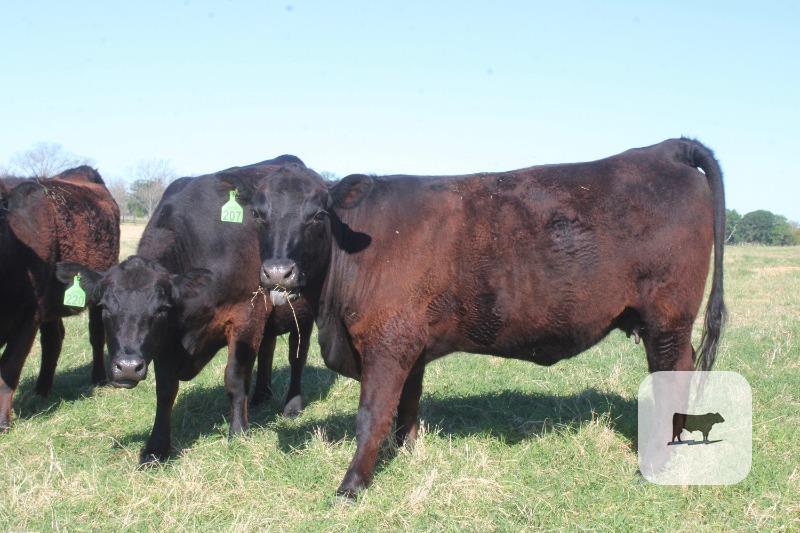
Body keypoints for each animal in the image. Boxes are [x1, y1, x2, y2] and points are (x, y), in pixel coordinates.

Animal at [0, 167, 120, 430]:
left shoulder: (30, 315)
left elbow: (9, 366)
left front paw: (2, 420)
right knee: (53, 340)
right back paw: (41, 390)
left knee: (96, 334)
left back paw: (99, 378)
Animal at [55, 156, 318, 464]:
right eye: (106, 307)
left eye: (160, 308)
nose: (128, 367)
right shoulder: (166, 340)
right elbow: (166, 390)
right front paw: (156, 447)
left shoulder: (247, 314)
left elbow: (235, 377)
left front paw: (238, 431)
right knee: (267, 349)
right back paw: (260, 396)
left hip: (303, 316)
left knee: (297, 356)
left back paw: (292, 405)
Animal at [230, 137, 726, 497]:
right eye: (258, 214)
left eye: (318, 214)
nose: (278, 272)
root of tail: (664, 149)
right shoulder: (413, 343)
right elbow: (408, 405)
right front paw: (407, 452)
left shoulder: (388, 343)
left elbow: (372, 414)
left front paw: (351, 486)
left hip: (667, 318)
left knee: (673, 372)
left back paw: (655, 464)